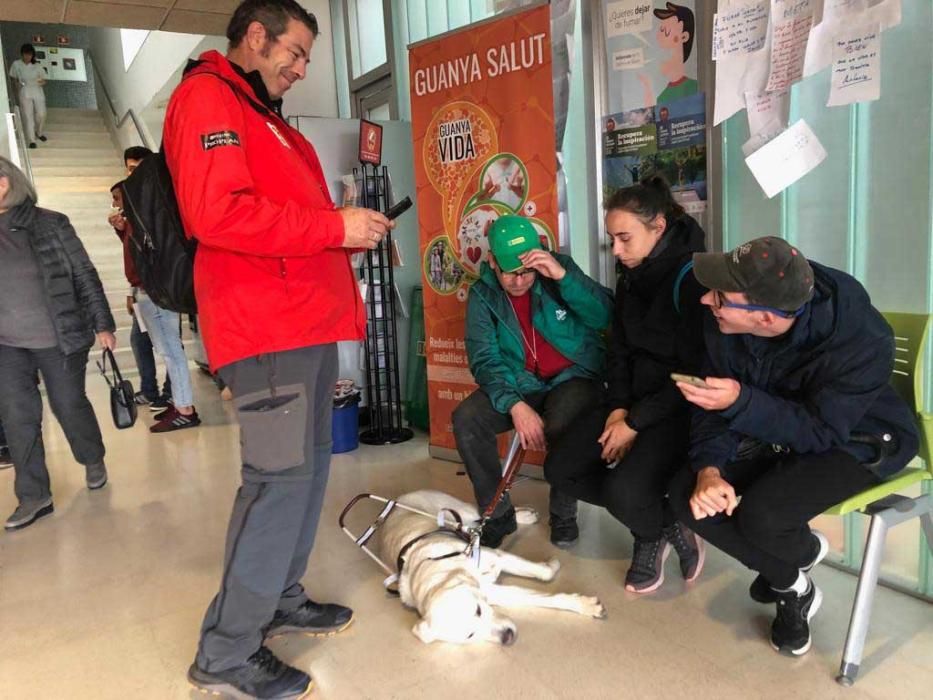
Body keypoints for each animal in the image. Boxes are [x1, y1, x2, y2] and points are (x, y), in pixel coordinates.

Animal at [374, 490, 604, 644]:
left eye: (477, 610)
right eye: (470, 635)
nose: (507, 637)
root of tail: (398, 500)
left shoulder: (496, 556)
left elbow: (545, 573)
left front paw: (553, 566)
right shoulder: (493, 591)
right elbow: (541, 598)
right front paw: (585, 606)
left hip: (460, 512)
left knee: (482, 514)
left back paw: (525, 514)